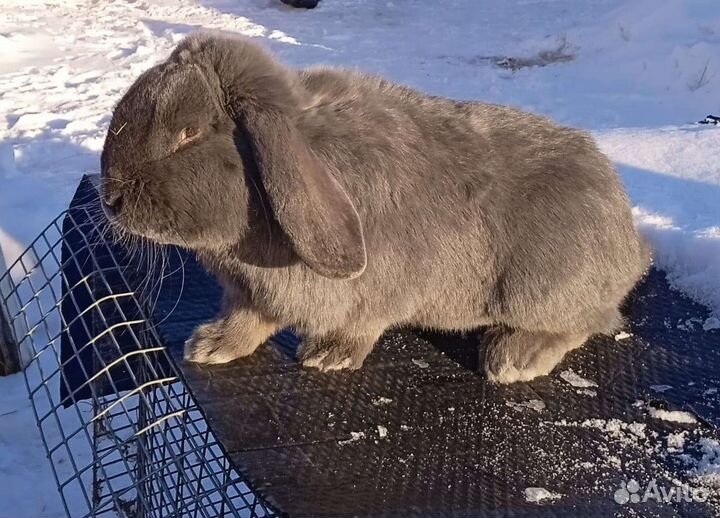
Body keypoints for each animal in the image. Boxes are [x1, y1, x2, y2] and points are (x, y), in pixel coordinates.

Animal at [100, 33, 650, 384]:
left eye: (189, 133)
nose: (111, 199)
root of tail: (630, 239)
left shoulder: (376, 292)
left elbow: (360, 324)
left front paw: (328, 357)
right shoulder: (252, 295)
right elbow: (246, 321)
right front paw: (209, 346)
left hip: (537, 287)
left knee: (590, 320)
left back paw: (512, 359)